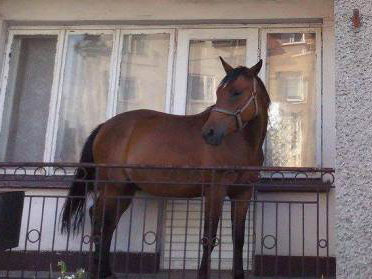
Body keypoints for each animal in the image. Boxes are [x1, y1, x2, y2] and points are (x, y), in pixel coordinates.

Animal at [61, 57, 270, 279]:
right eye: (218, 93)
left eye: (237, 92)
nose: (209, 133)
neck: (241, 143)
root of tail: (104, 126)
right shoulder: (215, 190)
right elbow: (209, 237)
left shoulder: (243, 193)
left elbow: (238, 238)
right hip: (113, 188)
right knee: (101, 221)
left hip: (124, 190)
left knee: (106, 223)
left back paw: (106, 271)